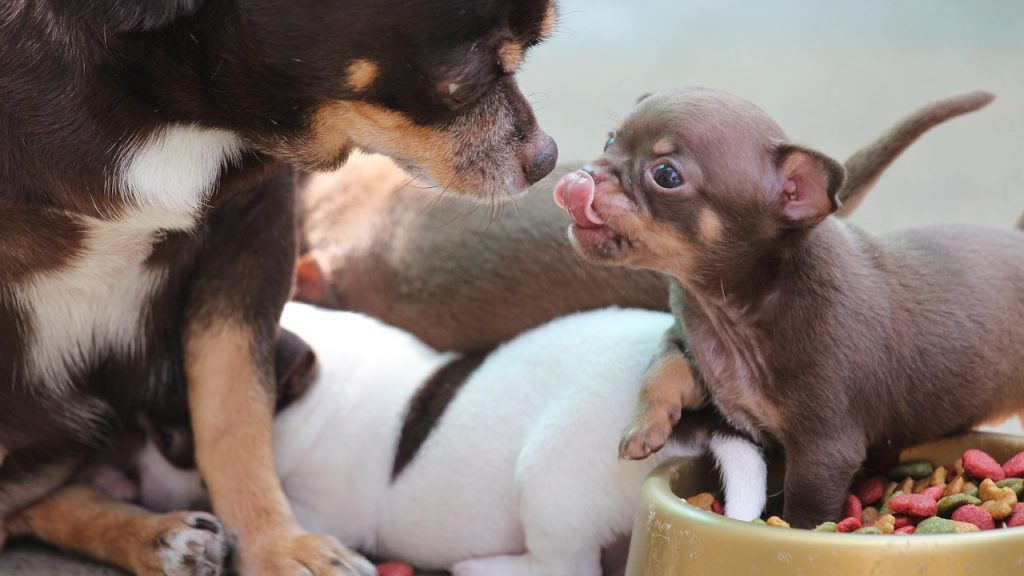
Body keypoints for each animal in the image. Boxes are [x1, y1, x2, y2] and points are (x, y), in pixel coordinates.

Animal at [0, 2, 561, 569]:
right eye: (462, 85)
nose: (547, 159)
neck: (173, 110)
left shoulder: (255, 230)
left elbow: (235, 414)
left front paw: (275, 546)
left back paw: (159, 537)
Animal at [136, 303, 765, 569]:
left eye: (170, 438)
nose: (131, 487)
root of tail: (698, 410)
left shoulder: (324, 509)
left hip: (549, 478)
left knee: (564, 570)